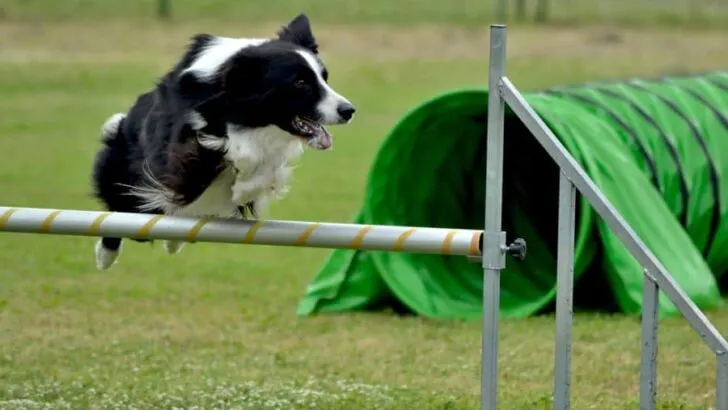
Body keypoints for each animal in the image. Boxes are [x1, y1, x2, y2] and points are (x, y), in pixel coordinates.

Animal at [91, 13, 356, 270]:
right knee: (126, 212)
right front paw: (240, 181)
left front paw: (244, 189)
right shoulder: (183, 148)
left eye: (324, 78)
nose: (349, 110)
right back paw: (106, 256)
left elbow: (268, 168)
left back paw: (174, 240)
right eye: (300, 83)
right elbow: (229, 152)